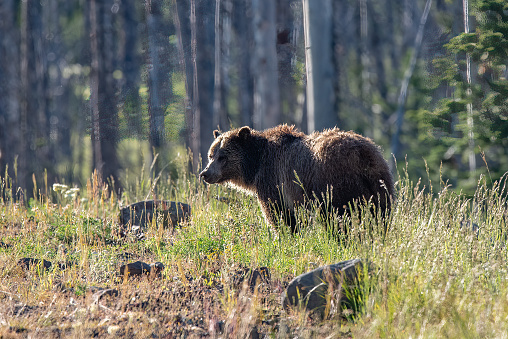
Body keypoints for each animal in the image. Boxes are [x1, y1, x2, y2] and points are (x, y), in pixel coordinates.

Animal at [198, 125, 392, 234]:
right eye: (211, 155)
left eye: (222, 157)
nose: (205, 174)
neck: (256, 163)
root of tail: (362, 155)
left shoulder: (273, 180)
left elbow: (279, 215)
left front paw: (286, 235)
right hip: (380, 183)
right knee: (381, 216)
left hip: (335, 184)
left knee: (341, 217)